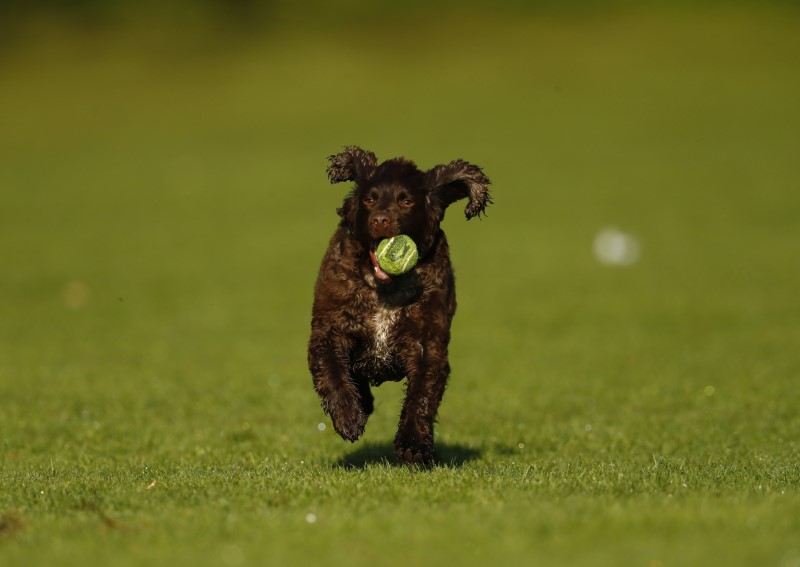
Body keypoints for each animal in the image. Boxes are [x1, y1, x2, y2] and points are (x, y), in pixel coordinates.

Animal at [308, 146, 490, 466]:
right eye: (370, 199)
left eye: (406, 201)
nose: (380, 220)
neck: (386, 289)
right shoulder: (329, 326)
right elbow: (331, 371)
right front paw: (348, 417)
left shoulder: (428, 342)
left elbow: (422, 395)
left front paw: (413, 444)